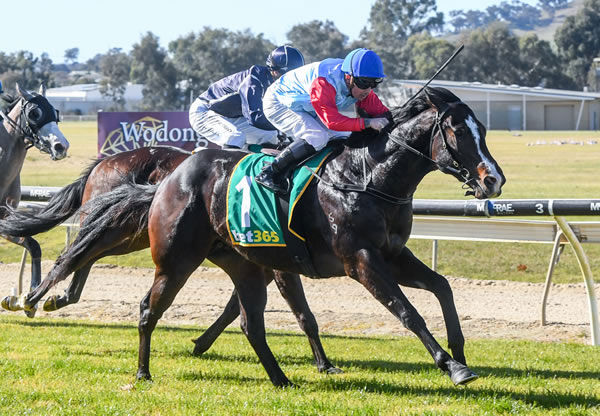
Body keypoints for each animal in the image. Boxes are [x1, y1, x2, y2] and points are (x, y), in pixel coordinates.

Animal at [0, 83, 69, 314]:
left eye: (55, 112)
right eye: (34, 113)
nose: (61, 146)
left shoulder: (6, 220)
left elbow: (34, 246)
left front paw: (26, 300)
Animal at [0, 145, 338, 370]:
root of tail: (104, 161)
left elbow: (235, 305)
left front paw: (202, 342)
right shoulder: (279, 262)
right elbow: (301, 312)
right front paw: (324, 363)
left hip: (132, 231)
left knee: (89, 252)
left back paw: (52, 297)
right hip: (133, 229)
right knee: (81, 250)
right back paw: (32, 297)